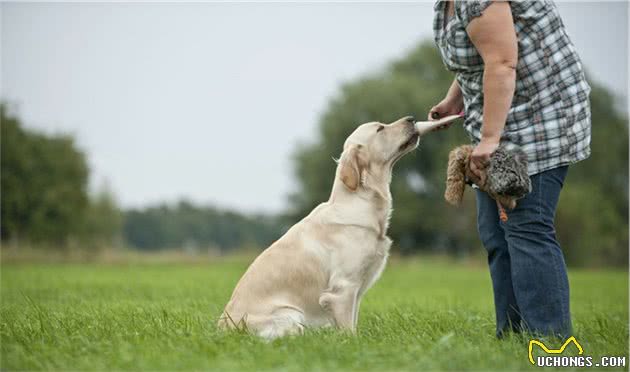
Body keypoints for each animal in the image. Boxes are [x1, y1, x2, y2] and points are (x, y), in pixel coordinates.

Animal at [220, 114, 462, 340]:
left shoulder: (356, 290)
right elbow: (348, 330)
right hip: (290, 315)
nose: (412, 119)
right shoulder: (342, 289)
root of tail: (222, 327)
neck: (363, 201)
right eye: (380, 128)